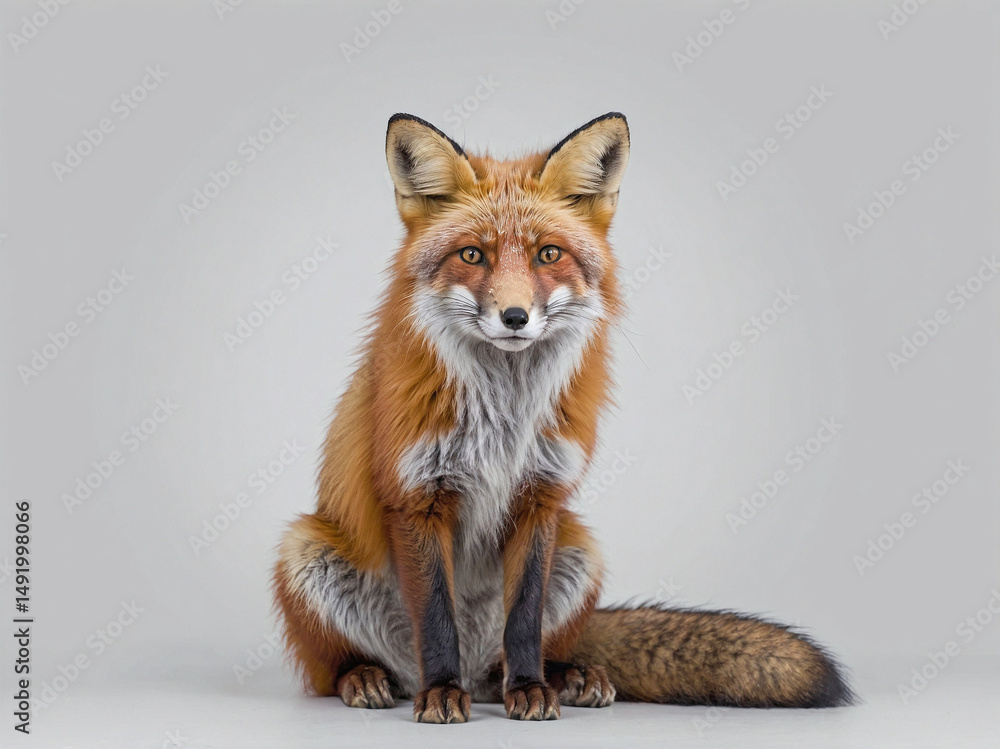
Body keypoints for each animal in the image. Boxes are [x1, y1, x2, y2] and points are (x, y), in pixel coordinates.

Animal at [272, 112, 853, 723]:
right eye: (472, 255)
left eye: (547, 255)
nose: (514, 316)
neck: (504, 416)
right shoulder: (417, 497)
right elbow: (435, 618)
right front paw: (441, 691)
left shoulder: (541, 496)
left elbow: (524, 617)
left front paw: (530, 688)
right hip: (305, 550)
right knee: (334, 670)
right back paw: (371, 677)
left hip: (581, 551)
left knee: (514, 657)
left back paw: (560, 676)